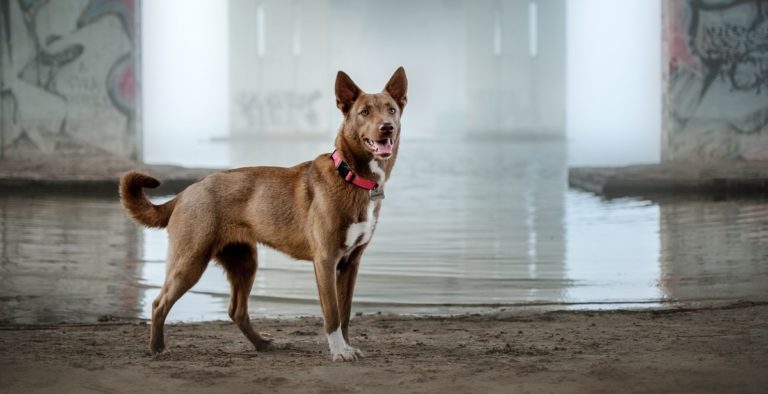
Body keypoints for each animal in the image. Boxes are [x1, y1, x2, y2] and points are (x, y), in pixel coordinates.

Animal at [118, 67, 408, 360]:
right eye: (364, 112)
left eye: (391, 109)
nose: (387, 127)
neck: (350, 176)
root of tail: (186, 192)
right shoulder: (326, 261)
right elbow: (333, 314)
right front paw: (338, 352)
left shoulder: (351, 263)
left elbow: (346, 313)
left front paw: (347, 347)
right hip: (190, 260)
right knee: (159, 303)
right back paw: (157, 348)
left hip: (244, 262)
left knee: (236, 310)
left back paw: (261, 344)